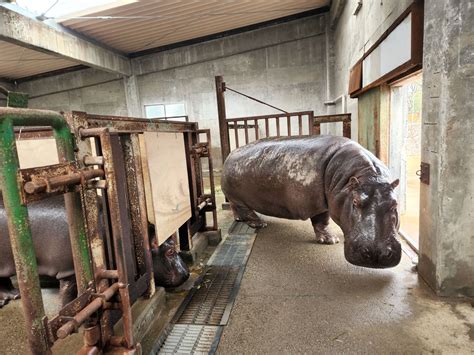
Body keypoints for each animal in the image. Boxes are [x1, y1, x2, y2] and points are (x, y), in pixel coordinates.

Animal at [224, 136, 402, 270]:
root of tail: (229, 155)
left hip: (233, 198)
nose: (376, 253)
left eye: (395, 204)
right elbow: (321, 220)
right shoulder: (317, 203)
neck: (364, 175)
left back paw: (239, 219)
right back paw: (259, 224)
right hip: (239, 197)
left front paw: (330, 240)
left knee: (235, 207)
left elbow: (323, 222)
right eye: (355, 202)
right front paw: (330, 240)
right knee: (246, 210)